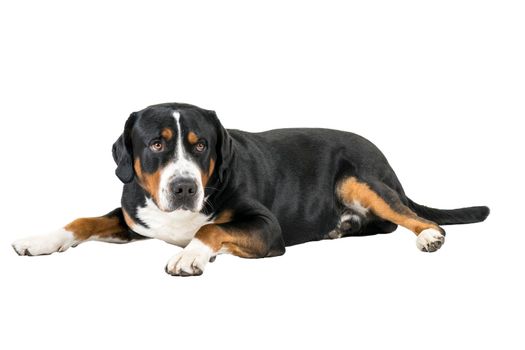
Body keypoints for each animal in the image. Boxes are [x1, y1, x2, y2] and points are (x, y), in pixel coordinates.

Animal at [11, 101, 488, 276]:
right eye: (156, 144)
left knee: (408, 215)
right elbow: (83, 220)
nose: (183, 188)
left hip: (360, 179)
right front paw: (39, 240)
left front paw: (189, 255)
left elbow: (210, 229)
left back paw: (429, 236)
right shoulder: (134, 218)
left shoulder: (265, 227)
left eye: (200, 145)